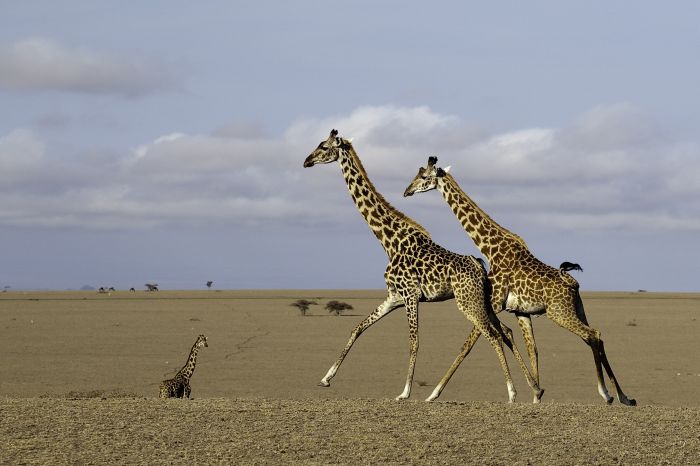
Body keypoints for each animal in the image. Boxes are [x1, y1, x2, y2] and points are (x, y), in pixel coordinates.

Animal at [302, 129, 540, 402]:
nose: (306, 161)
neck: (389, 241)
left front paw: (404, 392)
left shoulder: (410, 295)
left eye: (323, 146)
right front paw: (326, 378)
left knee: (493, 334)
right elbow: (357, 328)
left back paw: (512, 392)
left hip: (467, 302)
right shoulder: (393, 297)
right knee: (505, 331)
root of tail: (481, 267)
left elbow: (414, 342)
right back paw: (534, 388)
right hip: (483, 302)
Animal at [402, 157, 636, 404]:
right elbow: (533, 349)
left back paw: (606, 393)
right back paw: (624, 396)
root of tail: (574, 284)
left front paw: (433, 394)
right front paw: (536, 397)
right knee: (596, 337)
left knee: (592, 335)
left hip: (559, 313)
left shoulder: (492, 303)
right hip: (578, 309)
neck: (490, 249)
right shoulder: (520, 311)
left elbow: (467, 345)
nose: (407, 191)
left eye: (423, 177)